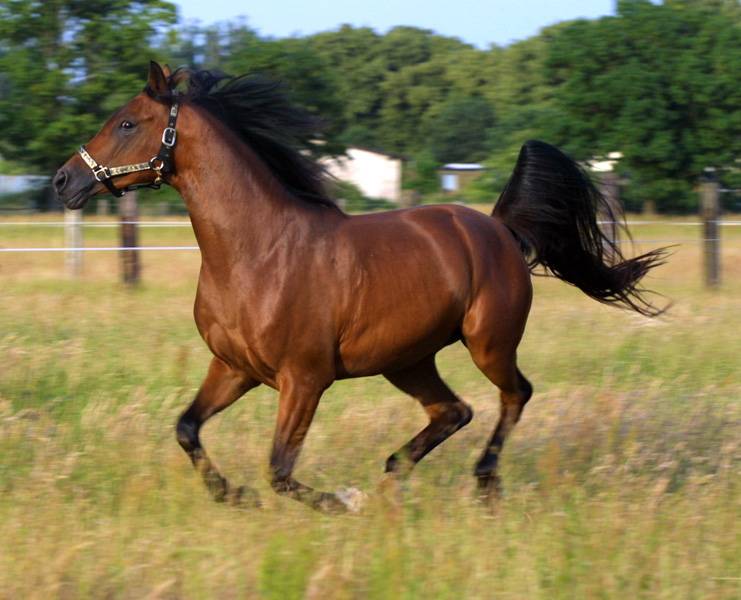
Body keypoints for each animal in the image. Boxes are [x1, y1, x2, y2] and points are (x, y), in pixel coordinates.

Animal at [53, 59, 664, 510]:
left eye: (127, 123)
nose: (64, 179)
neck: (257, 253)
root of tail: (501, 229)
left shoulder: (305, 379)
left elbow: (279, 469)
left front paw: (341, 500)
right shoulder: (233, 368)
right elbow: (187, 429)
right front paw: (235, 496)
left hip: (489, 343)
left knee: (514, 395)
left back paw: (483, 482)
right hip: (407, 359)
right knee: (453, 411)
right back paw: (394, 475)